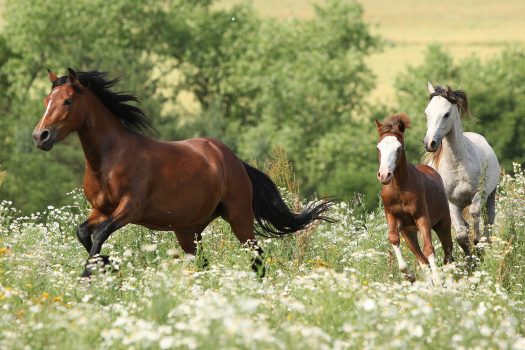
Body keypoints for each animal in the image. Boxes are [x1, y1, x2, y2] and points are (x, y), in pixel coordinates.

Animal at [31, 67, 332, 276]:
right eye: (46, 100)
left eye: (68, 101)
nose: (40, 136)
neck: (108, 160)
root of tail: (233, 159)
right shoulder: (101, 209)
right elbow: (83, 232)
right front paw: (107, 264)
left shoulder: (130, 209)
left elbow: (101, 233)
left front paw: (93, 271)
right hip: (188, 231)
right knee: (204, 263)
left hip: (239, 217)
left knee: (257, 257)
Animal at [374, 113, 452, 286]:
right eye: (378, 148)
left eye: (398, 148)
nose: (384, 175)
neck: (399, 189)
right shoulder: (391, 215)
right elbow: (393, 238)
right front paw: (408, 275)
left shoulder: (422, 217)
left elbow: (429, 248)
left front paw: (438, 281)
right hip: (409, 232)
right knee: (421, 258)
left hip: (443, 223)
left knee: (448, 252)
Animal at [422, 83, 500, 256]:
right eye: (427, 113)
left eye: (446, 114)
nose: (430, 143)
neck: (457, 165)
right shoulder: (451, 203)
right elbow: (461, 236)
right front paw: (470, 257)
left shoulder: (479, 193)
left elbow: (475, 212)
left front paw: (478, 243)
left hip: (491, 194)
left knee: (489, 219)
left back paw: (486, 241)